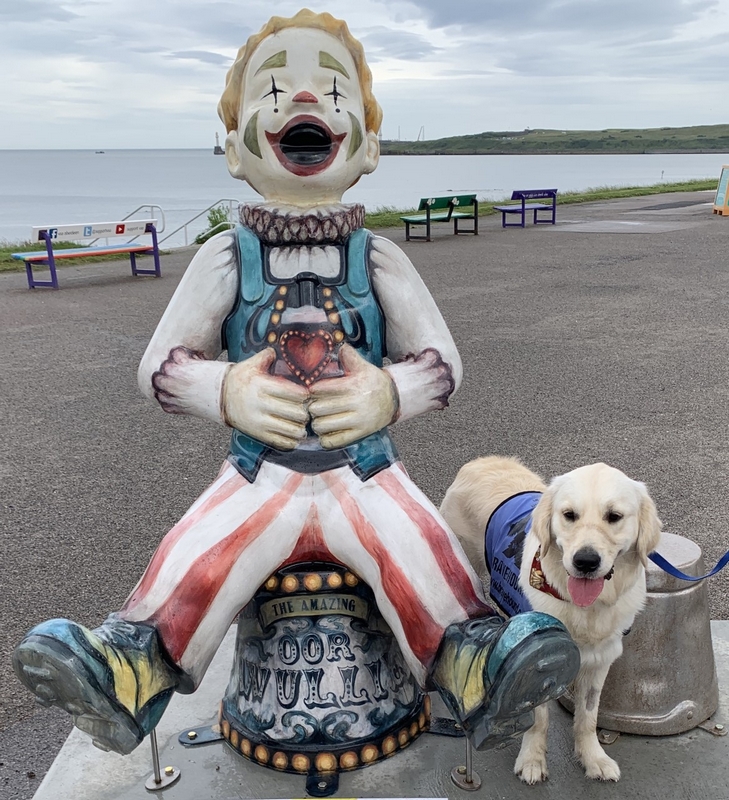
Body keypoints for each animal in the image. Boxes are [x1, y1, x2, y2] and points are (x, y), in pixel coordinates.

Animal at [438, 456, 660, 780]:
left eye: (614, 516)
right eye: (569, 515)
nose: (585, 561)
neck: (584, 608)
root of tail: (482, 461)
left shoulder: (601, 657)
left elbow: (588, 716)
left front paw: (593, 758)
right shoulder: (536, 659)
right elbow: (538, 717)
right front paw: (532, 760)